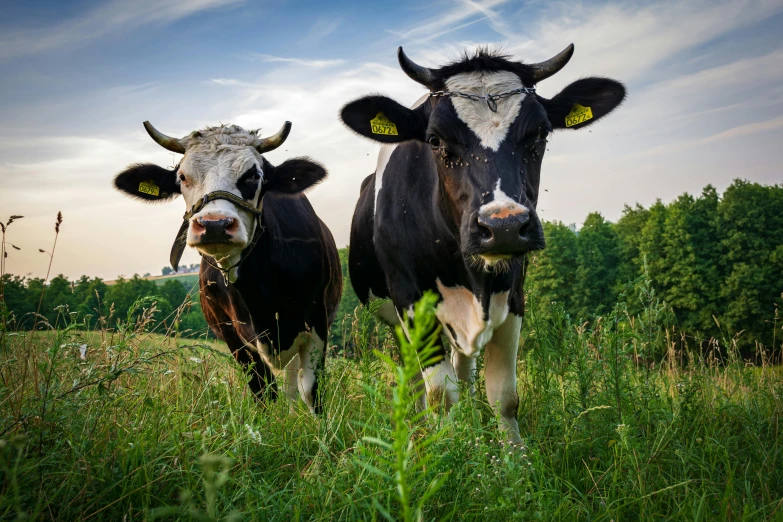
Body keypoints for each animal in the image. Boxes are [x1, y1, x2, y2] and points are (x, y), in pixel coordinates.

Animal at [112, 122, 340, 410]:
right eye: (182, 177)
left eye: (254, 175)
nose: (214, 225)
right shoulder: (233, 337)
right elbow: (262, 392)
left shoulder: (317, 321)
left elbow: (311, 389)